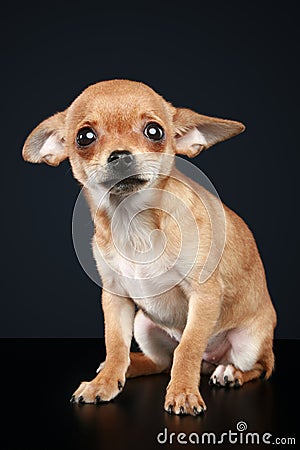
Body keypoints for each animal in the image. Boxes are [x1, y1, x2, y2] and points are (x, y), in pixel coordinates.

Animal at [22, 80, 276, 414]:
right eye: (84, 137)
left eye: (154, 131)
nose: (121, 155)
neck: (134, 226)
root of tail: (211, 362)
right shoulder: (115, 297)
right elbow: (115, 344)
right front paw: (105, 382)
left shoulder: (204, 295)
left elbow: (189, 347)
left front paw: (183, 392)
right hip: (144, 324)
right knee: (160, 362)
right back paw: (126, 367)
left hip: (249, 343)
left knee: (258, 367)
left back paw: (230, 373)